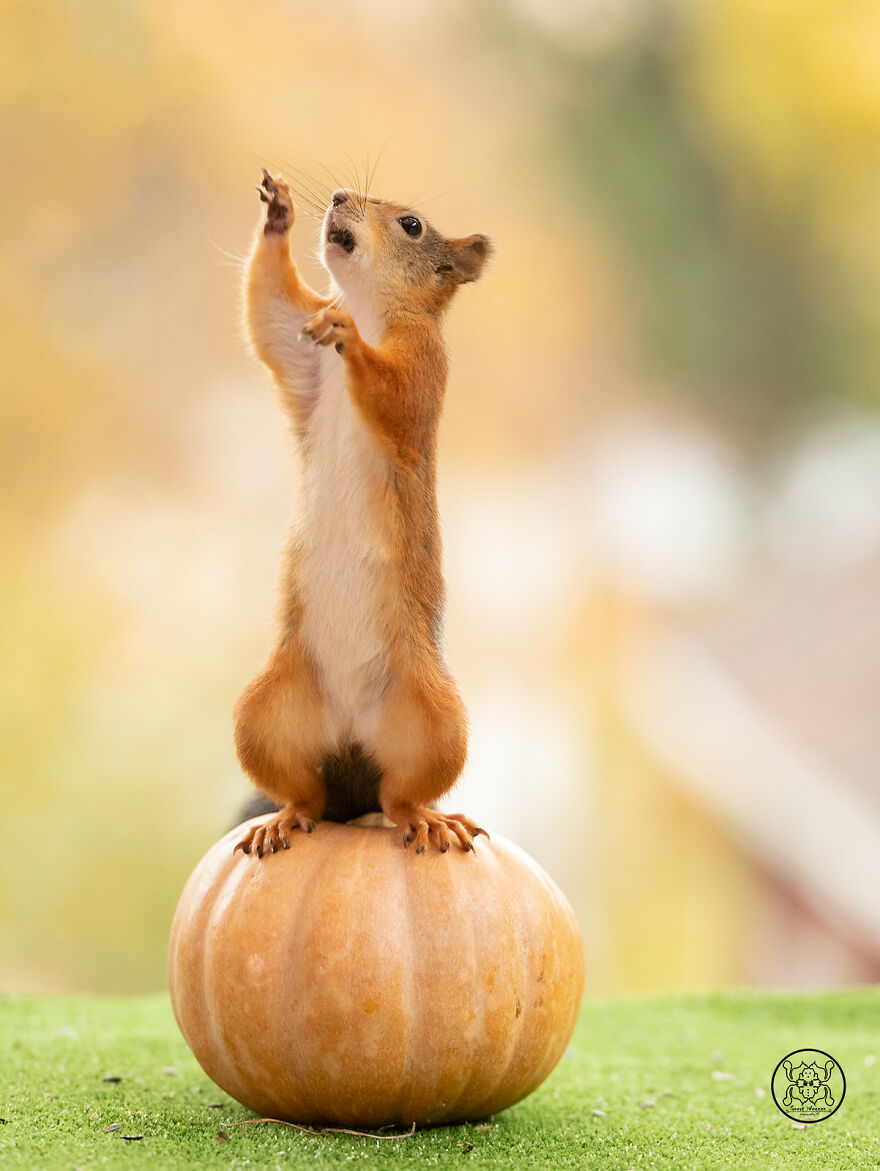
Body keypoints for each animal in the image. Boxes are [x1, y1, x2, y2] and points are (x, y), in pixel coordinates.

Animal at [232, 170, 492, 858]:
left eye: (412, 226)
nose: (339, 196)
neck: (372, 308)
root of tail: (352, 747)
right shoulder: (302, 353)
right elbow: (270, 311)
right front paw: (278, 213)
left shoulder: (425, 368)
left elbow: (395, 396)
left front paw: (347, 331)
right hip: (264, 716)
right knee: (308, 794)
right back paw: (283, 818)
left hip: (433, 722)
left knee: (401, 793)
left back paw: (427, 819)